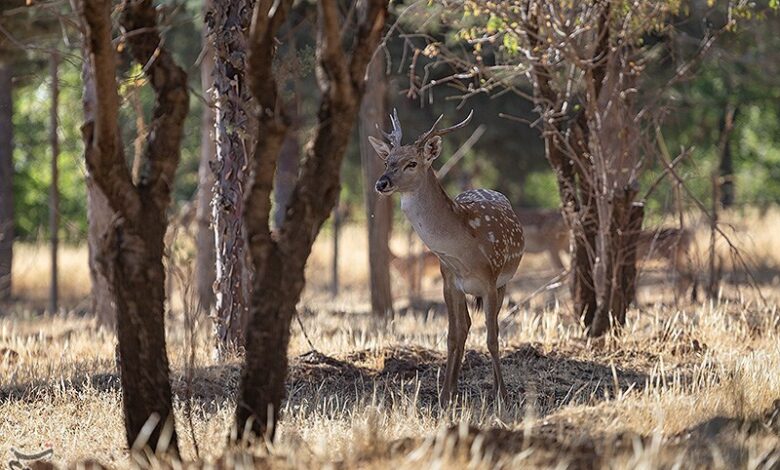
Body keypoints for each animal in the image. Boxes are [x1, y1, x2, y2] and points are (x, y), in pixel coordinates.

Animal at [370, 110, 524, 404]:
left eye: (412, 163)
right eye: (387, 160)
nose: (382, 182)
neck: (464, 252)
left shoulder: (490, 281)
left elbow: (492, 338)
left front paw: (503, 395)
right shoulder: (448, 281)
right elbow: (453, 335)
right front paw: (444, 396)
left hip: (504, 281)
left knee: (492, 327)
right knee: (465, 326)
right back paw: (451, 390)